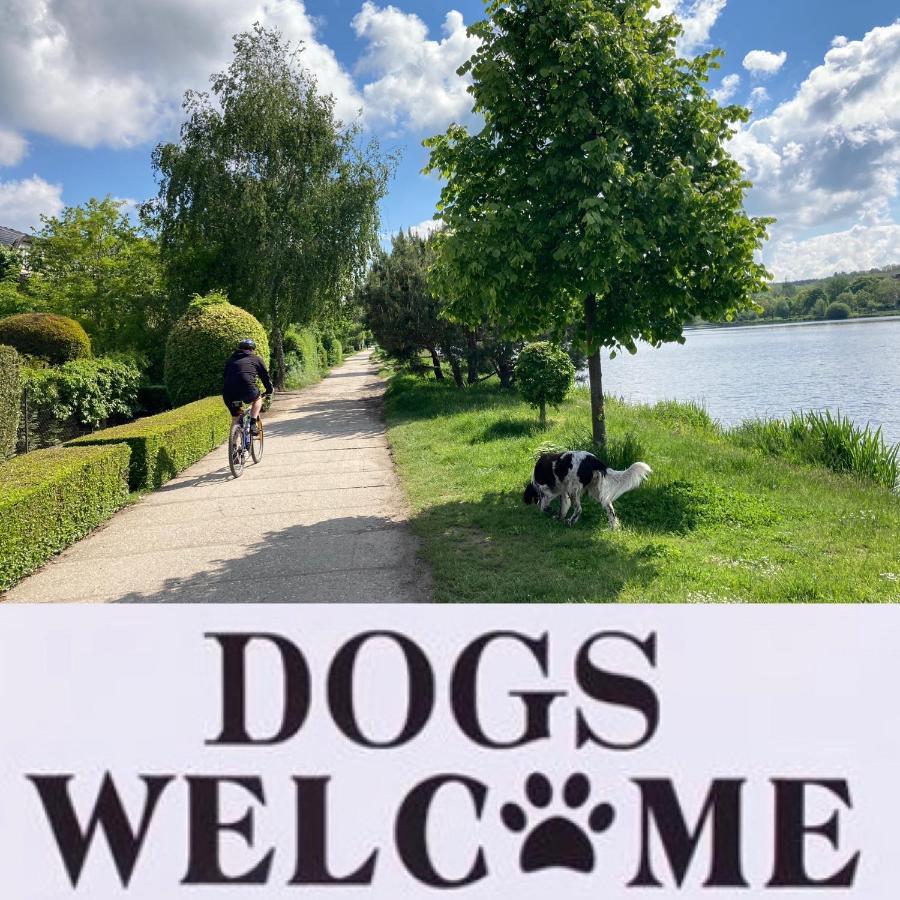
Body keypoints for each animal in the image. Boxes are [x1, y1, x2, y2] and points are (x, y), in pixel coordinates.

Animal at [524, 450, 652, 528]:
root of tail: (595, 461)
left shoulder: (546, 489)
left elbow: (544, 502)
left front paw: (545, 511)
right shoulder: (563, 491)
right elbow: (563, 507)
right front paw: (558, 517)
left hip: (574, 489)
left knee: (579, 509)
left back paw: (571, 522)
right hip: (596, 491)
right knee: (611, 510)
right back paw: (612, 528)